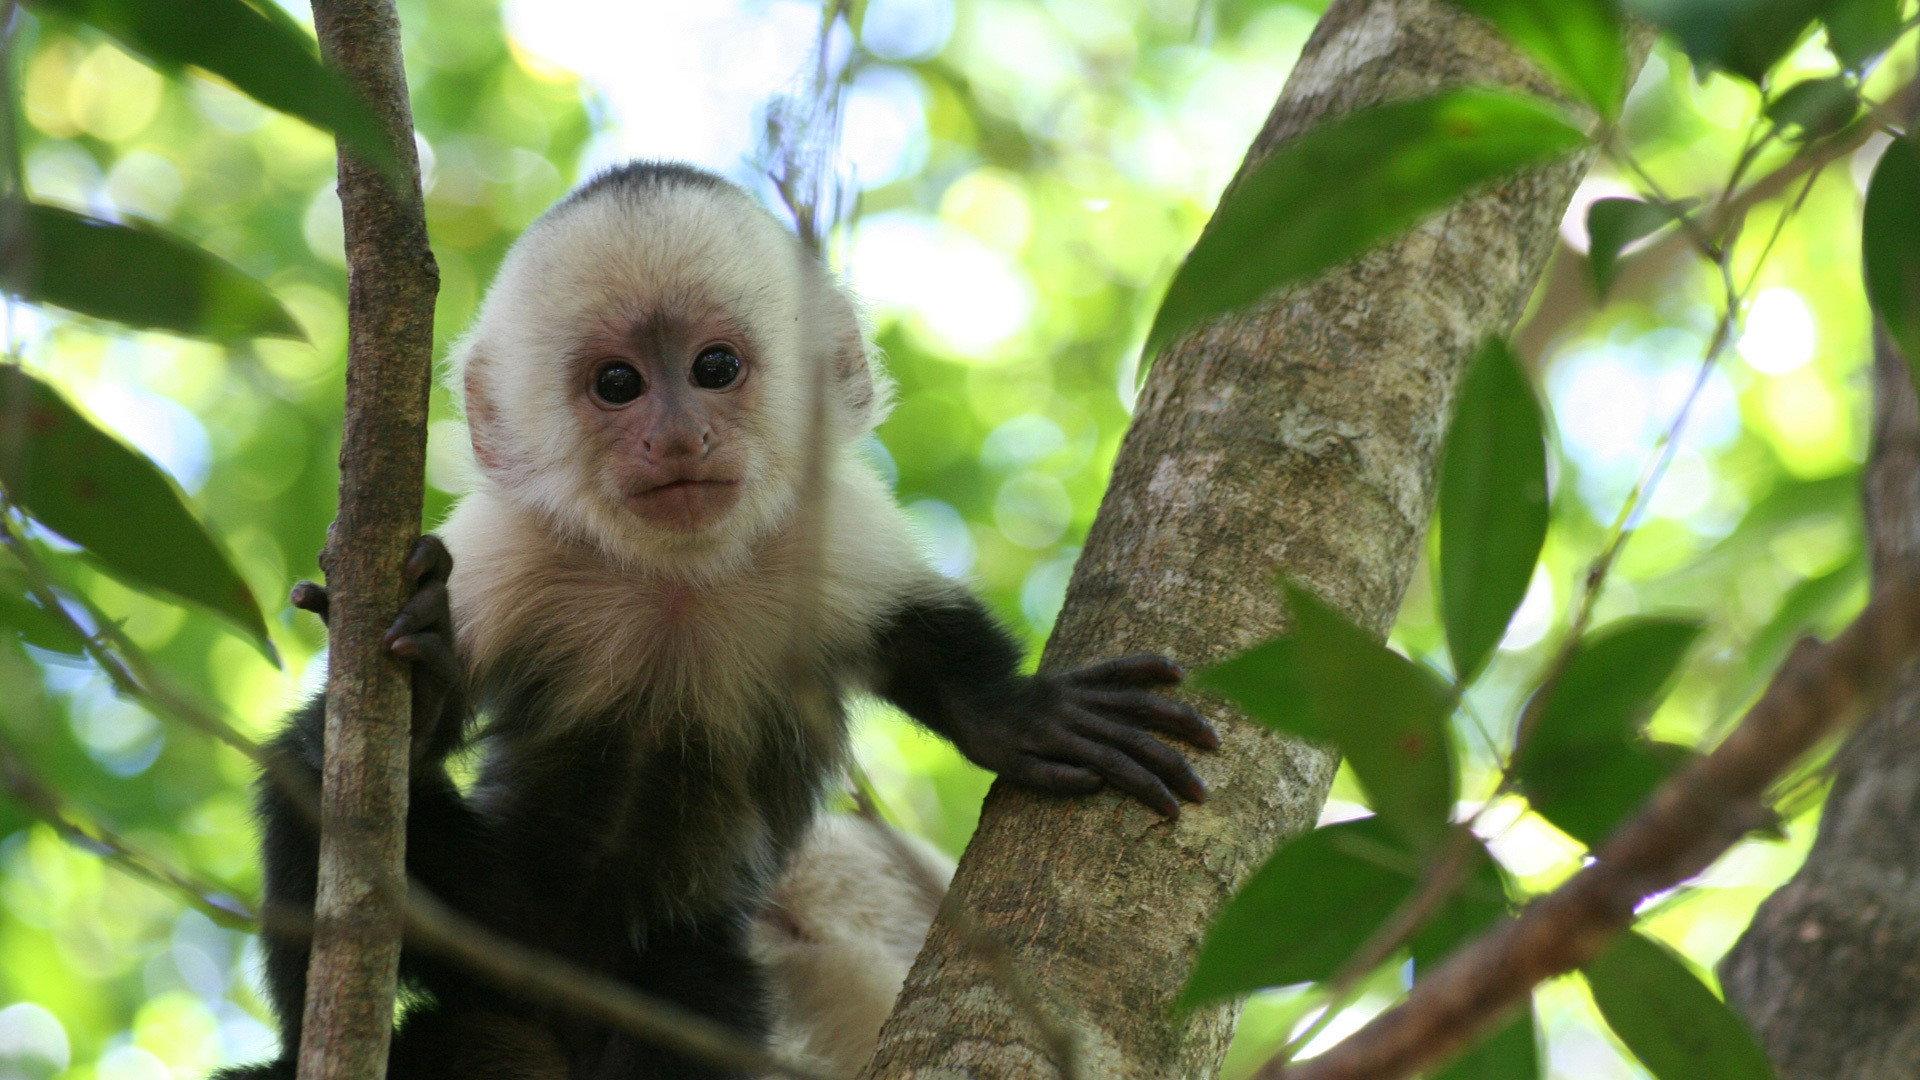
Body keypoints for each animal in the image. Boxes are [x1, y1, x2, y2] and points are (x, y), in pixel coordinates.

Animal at [221, 161, 1216, 1080]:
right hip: (496, 920)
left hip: (683, 960)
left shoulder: (829, 530)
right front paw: (424, 684)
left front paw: (1026, 714)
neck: (679, 581)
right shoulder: (511, 547)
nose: (675, 438)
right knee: (311, 777)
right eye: (616, 383)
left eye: (715, 368)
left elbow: (923, 640)